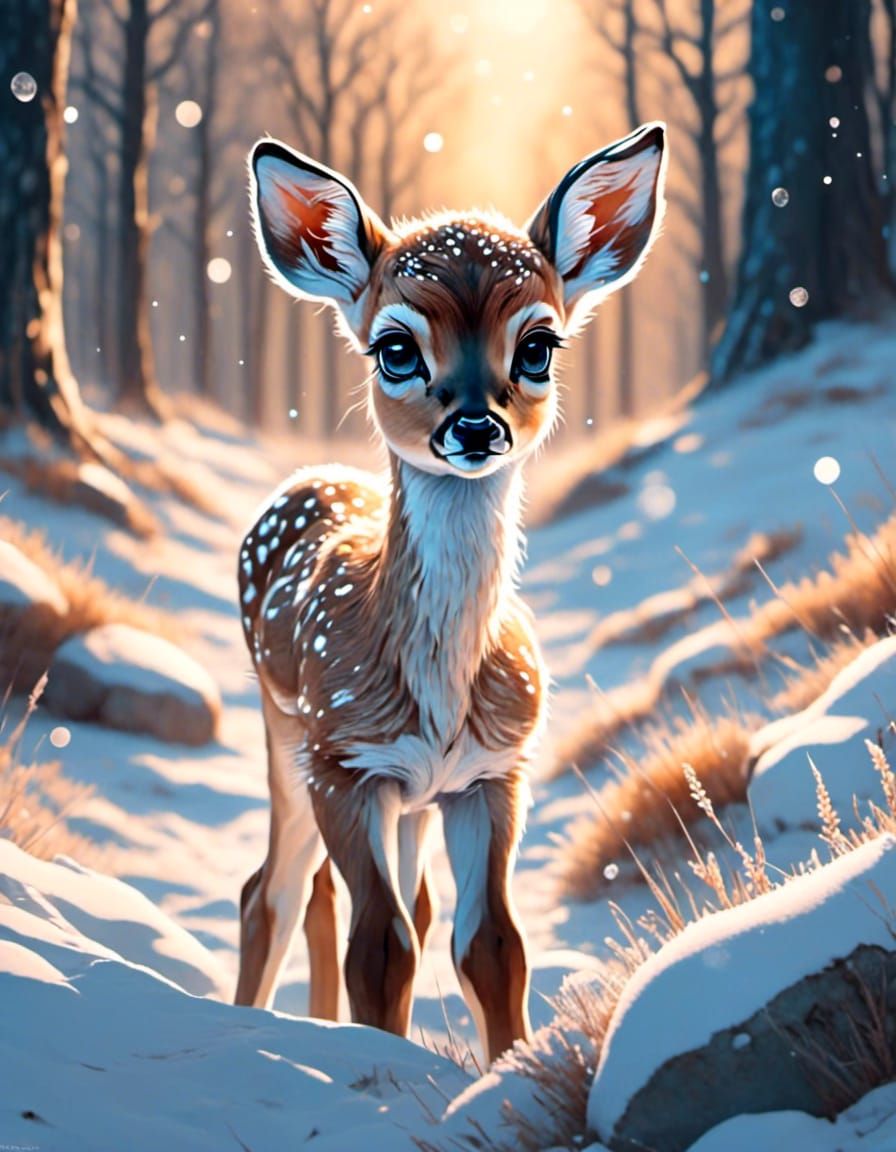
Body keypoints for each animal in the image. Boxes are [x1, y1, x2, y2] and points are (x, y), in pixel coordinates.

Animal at [234, 122, 667, 1063]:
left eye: (539, 343)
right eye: (395, 347)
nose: (475, 424)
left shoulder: (494, 773)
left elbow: (492, 946)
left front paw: (503, 1070)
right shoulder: (344, 761)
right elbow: (379, 950)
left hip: (411, 797)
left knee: (396, 903)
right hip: (285, 730)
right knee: (271, 891)